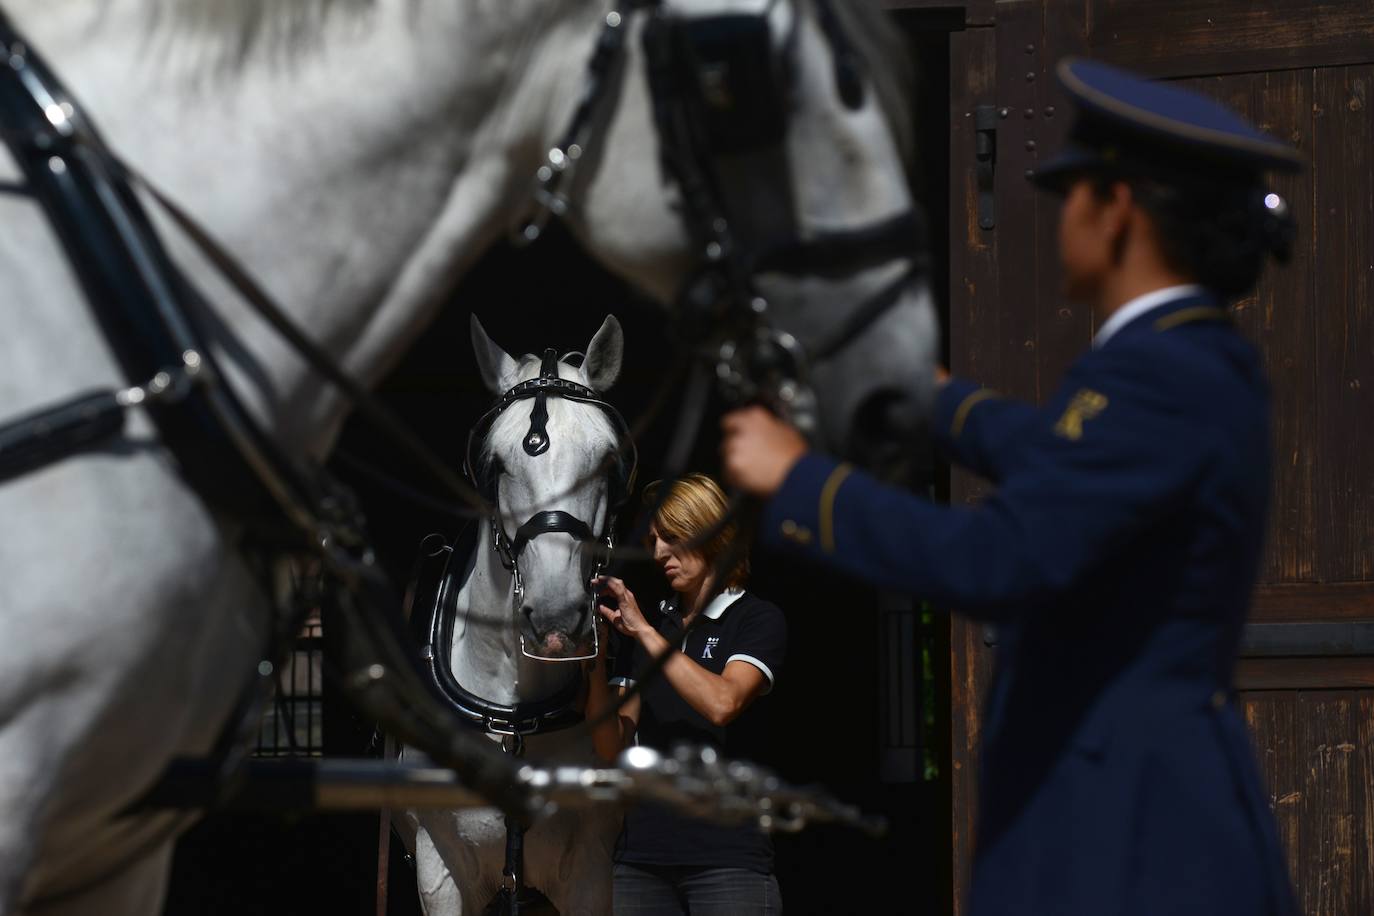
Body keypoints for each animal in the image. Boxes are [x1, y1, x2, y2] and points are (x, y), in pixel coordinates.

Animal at [401, 317, 626, 916]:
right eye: (496, 464)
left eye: (607, 461)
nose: (555, 616)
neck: (515, 723)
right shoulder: (438, 869)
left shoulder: (591, 870)